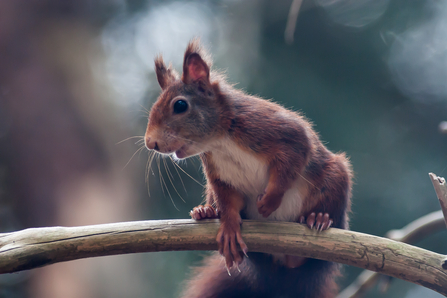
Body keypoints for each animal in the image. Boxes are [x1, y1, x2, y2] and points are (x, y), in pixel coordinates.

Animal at [146, 40, 354, 298]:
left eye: (180, 105)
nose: (150, 142)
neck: (220, 140)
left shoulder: (278, 132)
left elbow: (291, 161)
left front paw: (270, 201)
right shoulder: (219, 176)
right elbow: (228, 202)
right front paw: (229, 228)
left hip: (335, 178)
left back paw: (319, 218)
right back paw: (205, 212)